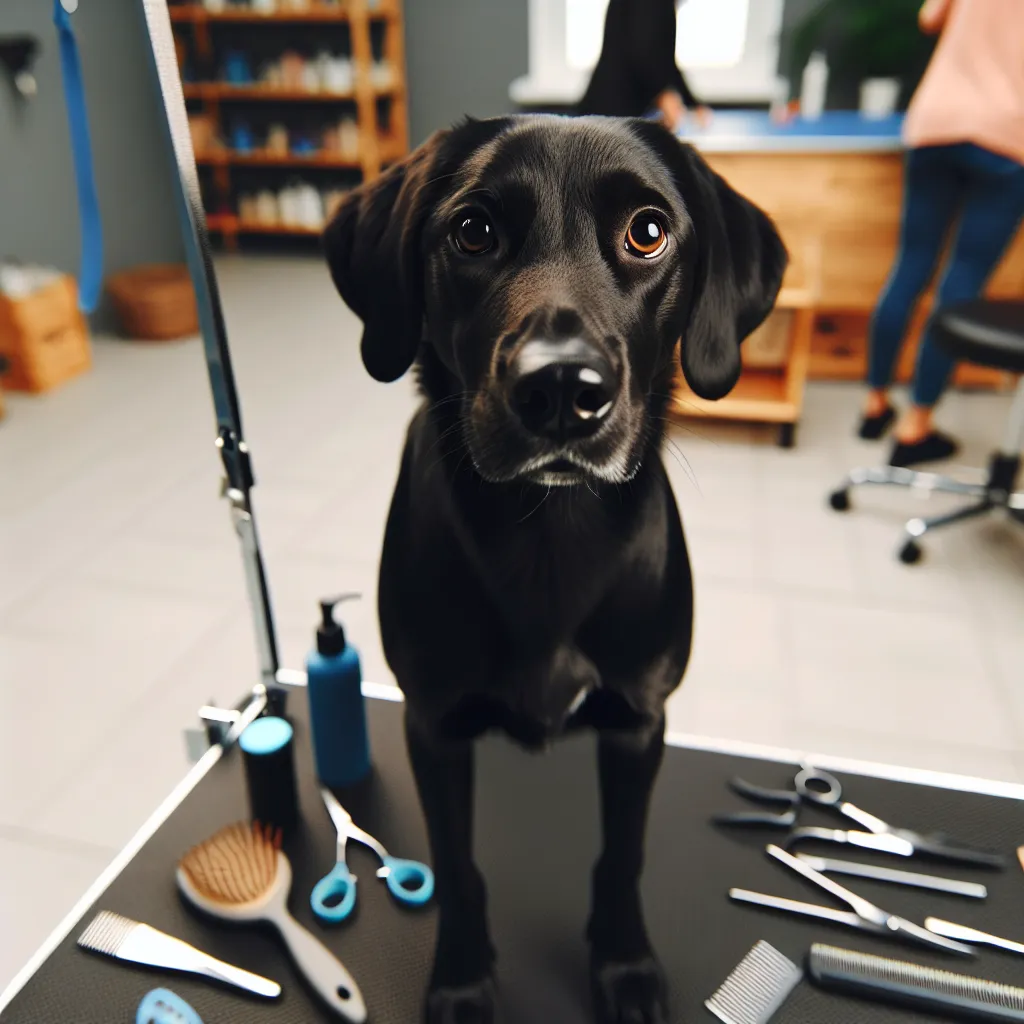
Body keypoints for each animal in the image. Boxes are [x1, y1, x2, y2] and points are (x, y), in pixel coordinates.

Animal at [327, 116, 782, 1019]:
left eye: (648, 231)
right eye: (473, 231)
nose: (563, 390)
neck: (547, 538)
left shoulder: (640, 723)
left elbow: (621, 856)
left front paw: (624, 964)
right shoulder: (433, 725)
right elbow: (458, 866)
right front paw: (463, 978)